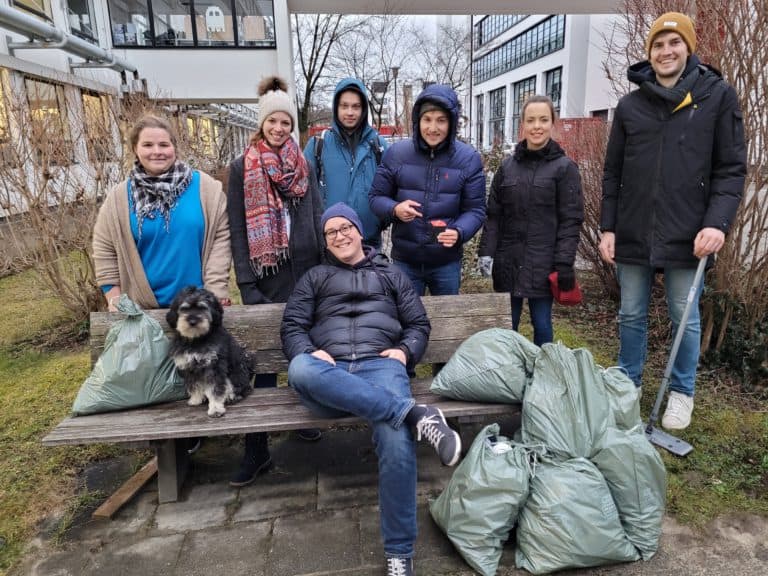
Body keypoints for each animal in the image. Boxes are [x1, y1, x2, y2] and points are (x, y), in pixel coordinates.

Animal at [166, 286, 254, 414]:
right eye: (184, 309)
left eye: (202, 308)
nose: (192, 321)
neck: (197, 340)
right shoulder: (189, 367)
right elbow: (194, 385)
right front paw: (196, 399)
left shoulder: (213, 367)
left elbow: (215, 389)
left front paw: (216, 409)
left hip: (236, 376)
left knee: (239, 389)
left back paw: (232, 396)